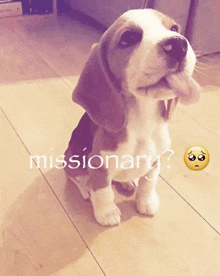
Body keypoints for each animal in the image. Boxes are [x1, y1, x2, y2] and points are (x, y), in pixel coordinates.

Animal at [63, 9, 199, 226]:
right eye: (128, 38)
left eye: (175, 28)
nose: (179, 44)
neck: (143, 123)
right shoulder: (99, 166)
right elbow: (103, 192)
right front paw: (107, 213)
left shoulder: (154, 162)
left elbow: (148, 185)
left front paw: (146, 202)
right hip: (71, 160)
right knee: (78, 178)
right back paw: (86, 189)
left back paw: (127, 183)